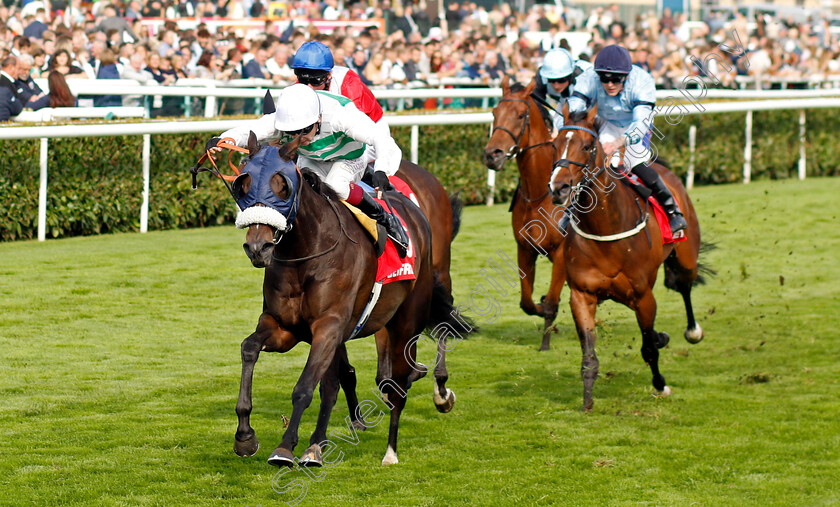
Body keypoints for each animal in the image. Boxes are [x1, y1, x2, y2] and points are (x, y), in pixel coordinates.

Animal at [482, 76, 568, 354]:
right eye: (494, 112)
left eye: (521, 115)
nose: (492, 154)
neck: (540, 192)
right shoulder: (525, 248)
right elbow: (527, 303)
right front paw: (540, 306)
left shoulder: (562, 253)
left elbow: (552, 300)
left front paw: (546, 342)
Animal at [552, 104, 708, 412]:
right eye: (555, 145)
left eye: (587, 146)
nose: (559, 187)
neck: (605, 228)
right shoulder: (581, 295)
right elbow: (589, 357)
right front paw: (587, 402)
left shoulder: (643, 296)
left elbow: (648, 347)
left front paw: (660, 385)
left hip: (686, 257)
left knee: (684, 286)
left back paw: (692, 331)